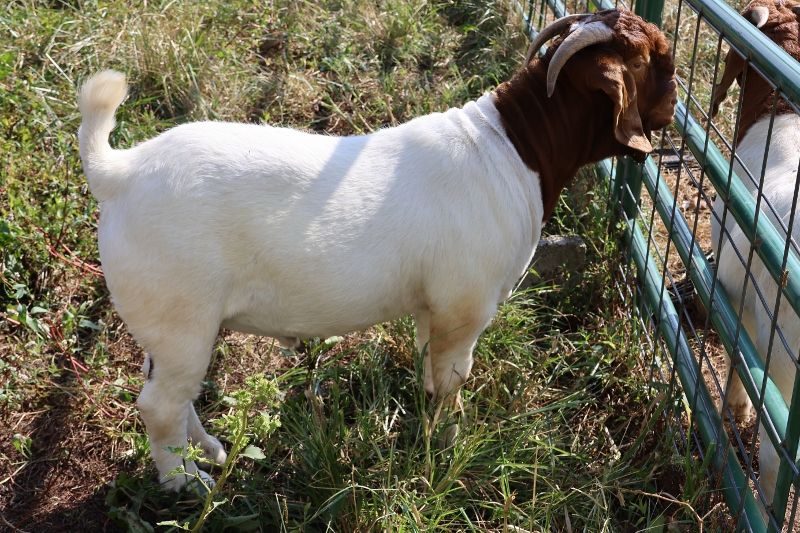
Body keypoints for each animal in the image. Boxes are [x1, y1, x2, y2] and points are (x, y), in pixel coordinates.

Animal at [78, 9, 677, 491]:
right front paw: (449, 446)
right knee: (159, 405)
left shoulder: (432, 307)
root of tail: (119, 172)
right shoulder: (465, 308)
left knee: (173, 396)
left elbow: (430, 373)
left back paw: (212, 451)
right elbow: (452, 381)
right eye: (660, 60)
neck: (514, 147)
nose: (673, 113)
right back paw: (185, 481)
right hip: (182, 316)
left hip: (169, 325)